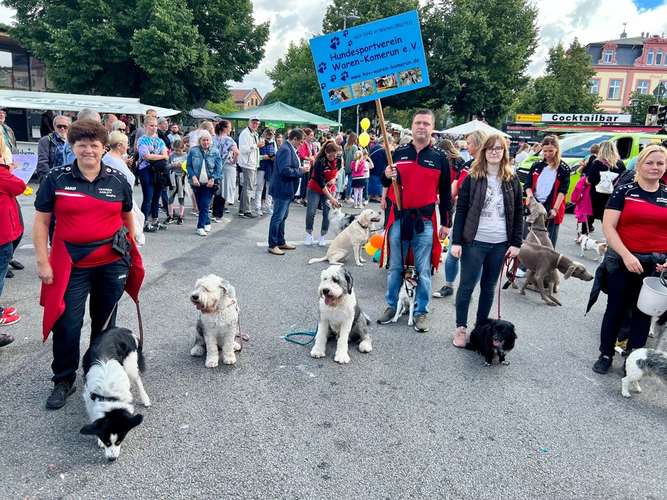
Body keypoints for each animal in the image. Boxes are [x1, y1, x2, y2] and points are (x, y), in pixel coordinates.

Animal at [80, 328, 149, 460]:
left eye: (119, 441)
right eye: (107, 441)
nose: (112, 459)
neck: (108, 395)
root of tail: (122, 329)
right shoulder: (89, 398)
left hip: (130, 364)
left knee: (138, 379)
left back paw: (145, 398)